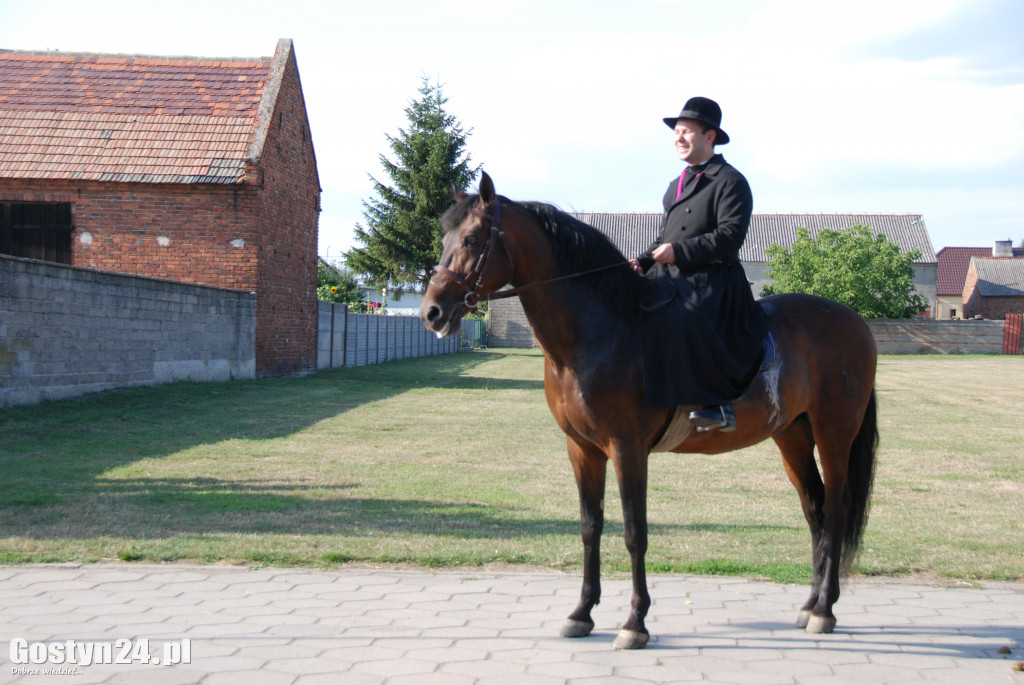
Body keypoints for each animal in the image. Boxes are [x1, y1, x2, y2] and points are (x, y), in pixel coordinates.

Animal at [419, 170, 876, 647]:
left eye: (472, 239)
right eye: (444, 237)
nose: (431, 312)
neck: (601, 331)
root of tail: (854, 322)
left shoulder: (627, 448)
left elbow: (634, 532)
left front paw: (634, 622)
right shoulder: (582, 449)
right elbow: (590, 526)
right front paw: (581, 613)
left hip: (834, 434)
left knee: (837, 508)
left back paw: (824, 609)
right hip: (793, 437)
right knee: (815, 510)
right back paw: (811, 604)